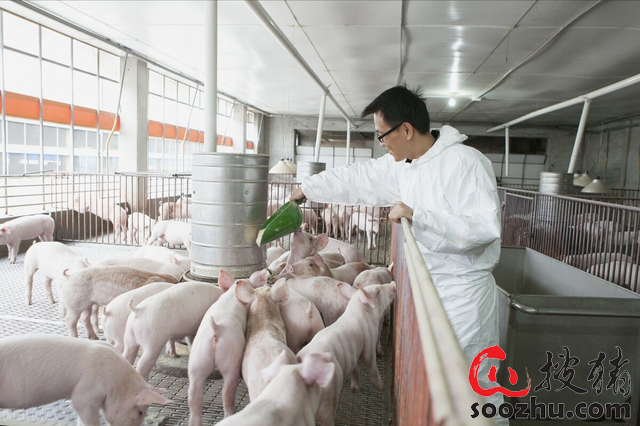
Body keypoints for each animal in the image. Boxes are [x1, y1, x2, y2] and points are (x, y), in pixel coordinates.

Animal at [188, 269, 268, 423]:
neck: (231, 294)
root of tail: (216, 329)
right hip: (231, 358)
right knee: (227, 394)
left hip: (197, 361)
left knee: (194, 399)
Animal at [297, 282, 396, 426]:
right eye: (377, 291)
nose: (393, 283)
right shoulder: (369, 340)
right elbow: (370, 363)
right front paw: (381, 387)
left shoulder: (351, 355)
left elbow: (355, 369)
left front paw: (356, 389)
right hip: (330, 389)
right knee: (324, 415)